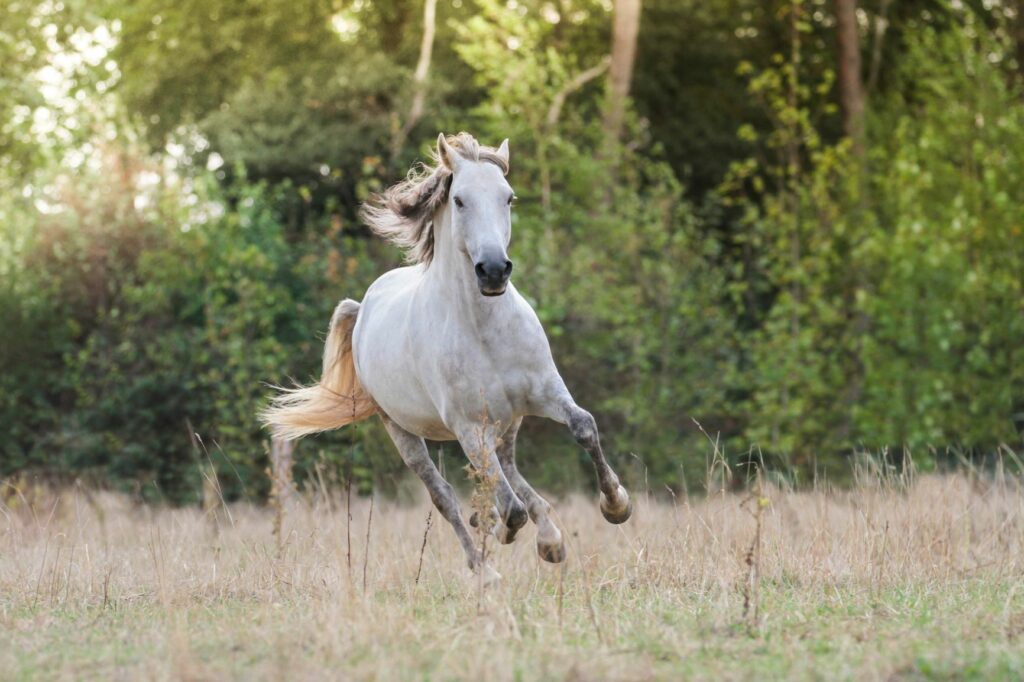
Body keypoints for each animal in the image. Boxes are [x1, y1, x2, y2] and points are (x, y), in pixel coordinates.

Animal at [262, 130, 630, 569]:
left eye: (509, 197)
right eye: (459, 200)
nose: (493, 270)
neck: (485, 331)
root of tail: (364, 306)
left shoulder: (545, 393)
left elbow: (584, 427)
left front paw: (616, 505)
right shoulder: (469, 428)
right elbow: (508, 507)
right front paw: (499, 527)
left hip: (508, 421)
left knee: (510, 470)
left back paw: (549, 539)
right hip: (404, 430)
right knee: (449, 497)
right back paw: (488, 565)